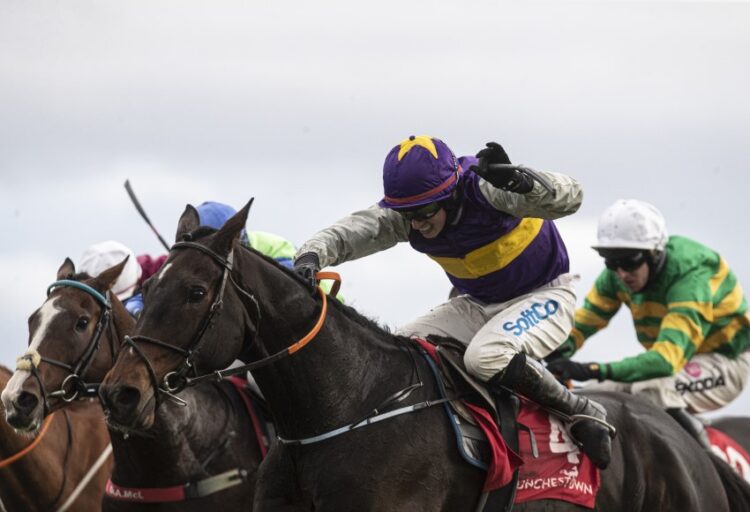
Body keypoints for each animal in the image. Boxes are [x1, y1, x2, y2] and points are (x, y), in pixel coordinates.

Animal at [99, 201, 750, 511]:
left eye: (195, 292)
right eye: (147, 288)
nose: (119, 392)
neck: (342, 409)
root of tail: (683, 440)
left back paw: (589, 421)